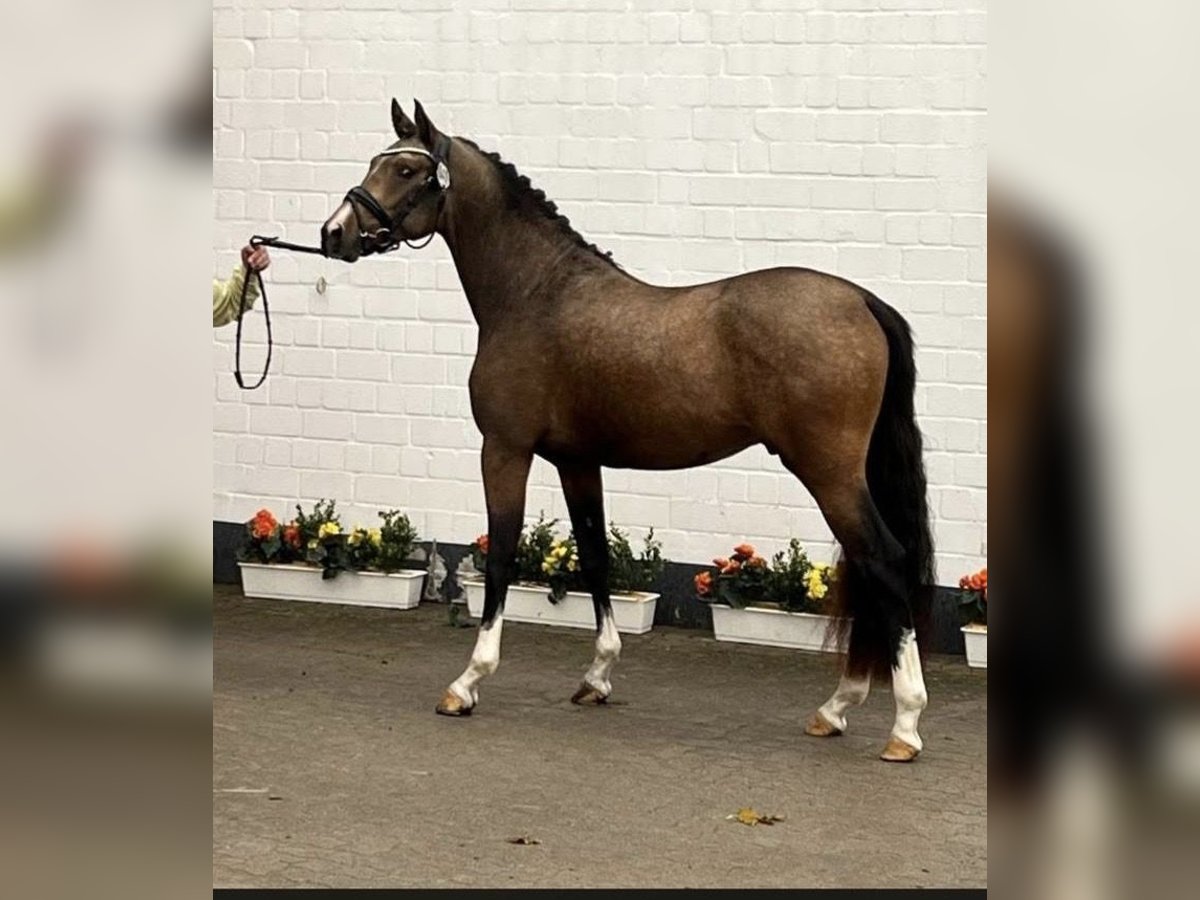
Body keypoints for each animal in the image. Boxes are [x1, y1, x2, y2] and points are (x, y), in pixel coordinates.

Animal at [321, 99, 935, 762]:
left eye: (407, 169)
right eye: (379, 161)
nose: (334, 233)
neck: (535, 294)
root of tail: (863, 301)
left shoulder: (506, 450)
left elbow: (503, 555)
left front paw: (467, 682)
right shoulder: (576, 461)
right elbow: (594, 556)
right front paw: (598, 676)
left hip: (829, 472)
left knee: (883, 561)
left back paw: (903, 725)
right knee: (867, 569)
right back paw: (837, 707)